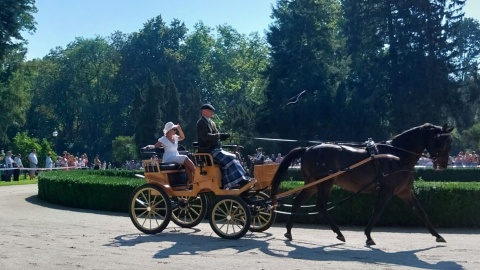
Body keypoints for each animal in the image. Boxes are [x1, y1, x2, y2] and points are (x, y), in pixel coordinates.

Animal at [270, 123, 454, 246]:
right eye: (442, 142)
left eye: (449, 142)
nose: (443, 164)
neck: (397, 156)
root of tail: (308, 149)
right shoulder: (386, 190)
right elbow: (377, 211)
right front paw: (368, 235)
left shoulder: (405, 191)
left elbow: (421, 212)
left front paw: (437, 235)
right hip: (325, 182)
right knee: (321, 206)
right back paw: (339, 233)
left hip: (313, 183)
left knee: (298, 202)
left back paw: (288, 231)